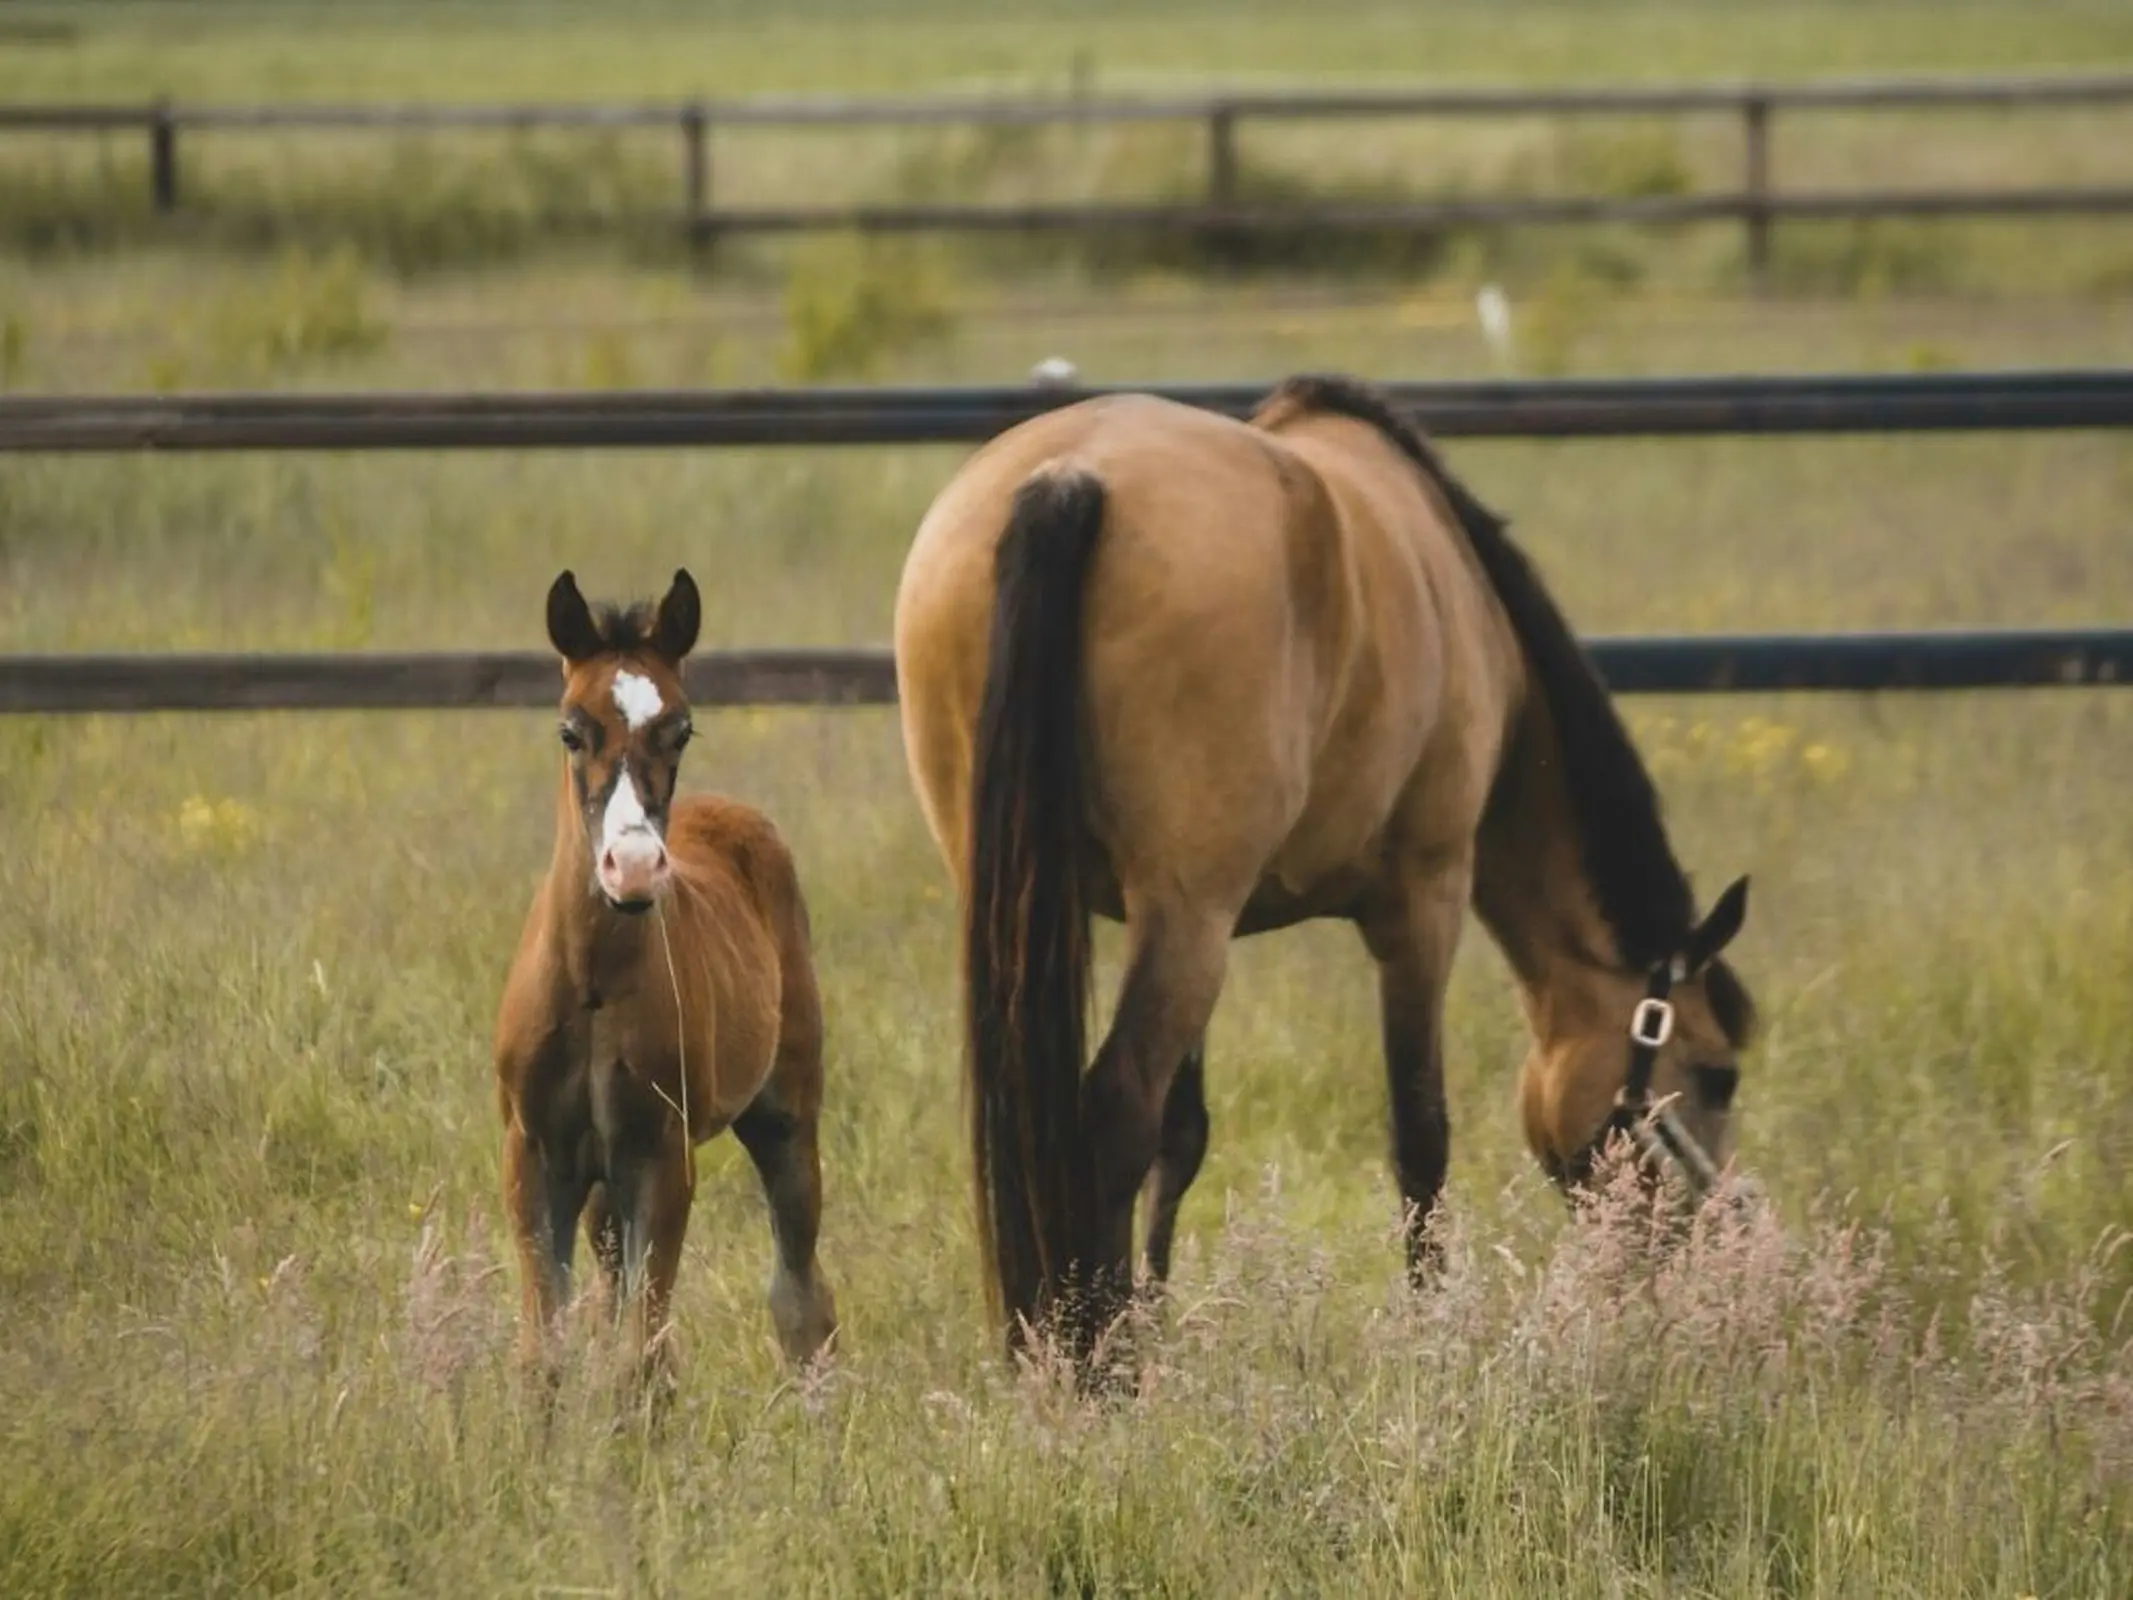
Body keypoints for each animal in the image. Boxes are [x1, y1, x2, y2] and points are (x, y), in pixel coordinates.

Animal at [494, 571, 836, 1390]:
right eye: (570, 730)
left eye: (681, 730)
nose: (635, 866)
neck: (591, 986)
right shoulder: (533, 1152)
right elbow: (544, 1355)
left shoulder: (660, 1152)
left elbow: (642, 1361)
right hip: (600, 1186)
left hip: (784, 1115)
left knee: (801, 1294)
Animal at [891, 373, 1757, 1365]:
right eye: (1716, 1074)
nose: (1725, 1238)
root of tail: (1069, 477)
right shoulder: (1421, 901)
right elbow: (1420, 1133)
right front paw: (1431, 1328)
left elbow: (1184, 1137)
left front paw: (1161, 1315)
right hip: (1188, 919)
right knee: (1113, 1109)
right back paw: (1103, 1366)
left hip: (1054, 909)